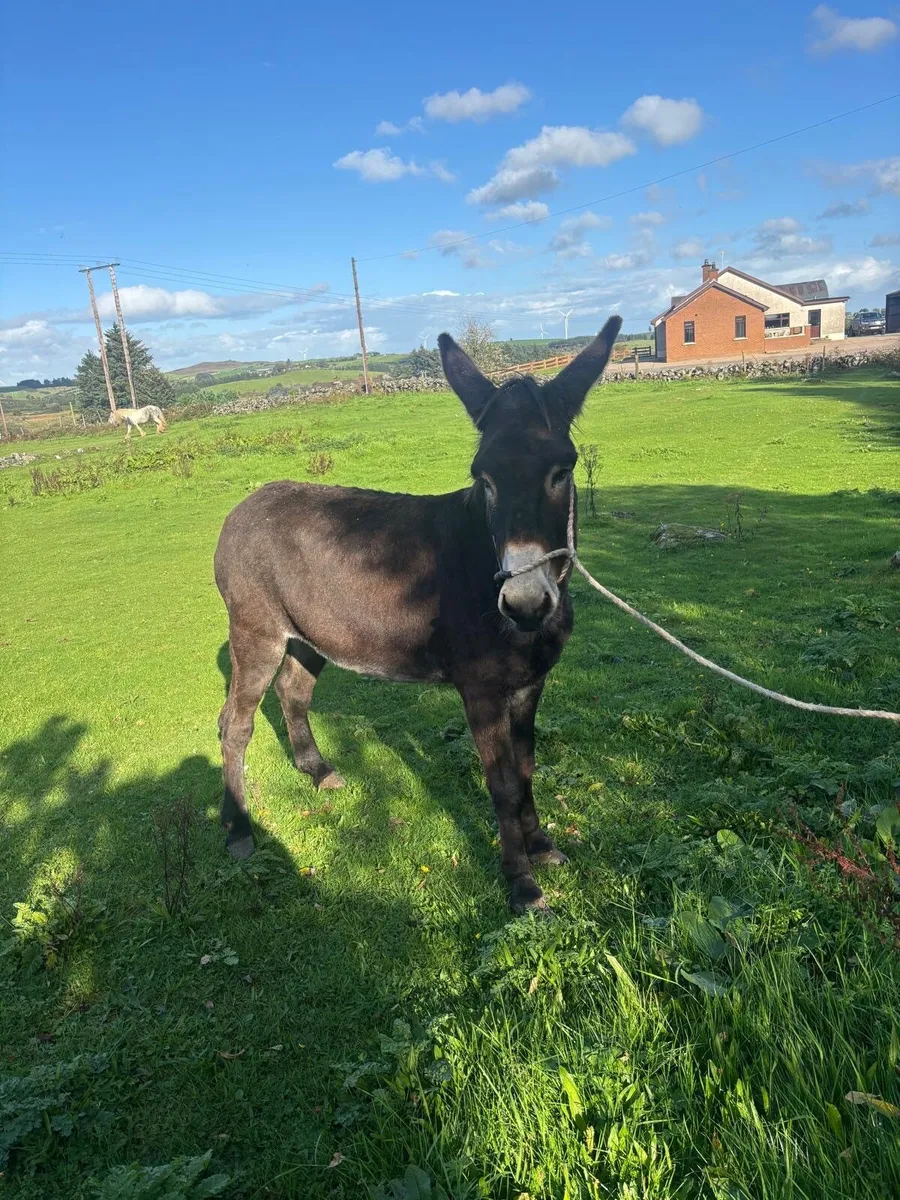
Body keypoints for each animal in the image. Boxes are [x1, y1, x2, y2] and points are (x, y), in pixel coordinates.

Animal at [213, 316, 622, 912]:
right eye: (483, 478)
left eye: (561, 471)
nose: (523, 602)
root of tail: (241, 507)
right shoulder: (480, 689)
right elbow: (501, 780)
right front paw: (521, 883)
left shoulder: (531, 684)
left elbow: (526, 768)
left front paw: (542, 845)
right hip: (255, 630)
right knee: (236, 723)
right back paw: (240, 829)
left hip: (311, 634)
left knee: (292, 691)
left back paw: (318, 771)